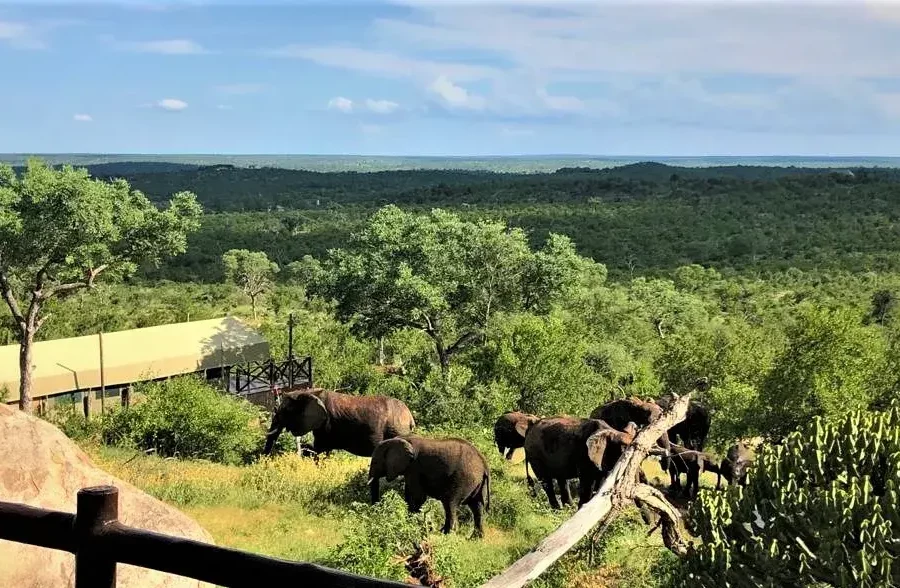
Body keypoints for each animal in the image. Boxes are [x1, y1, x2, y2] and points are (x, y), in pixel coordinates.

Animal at [260, 388, 414, 462]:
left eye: (286, 411)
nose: (263, 461)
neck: (307, 391)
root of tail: (410, 417)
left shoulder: (325, 424)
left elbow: (320, 449)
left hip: (396, 431)